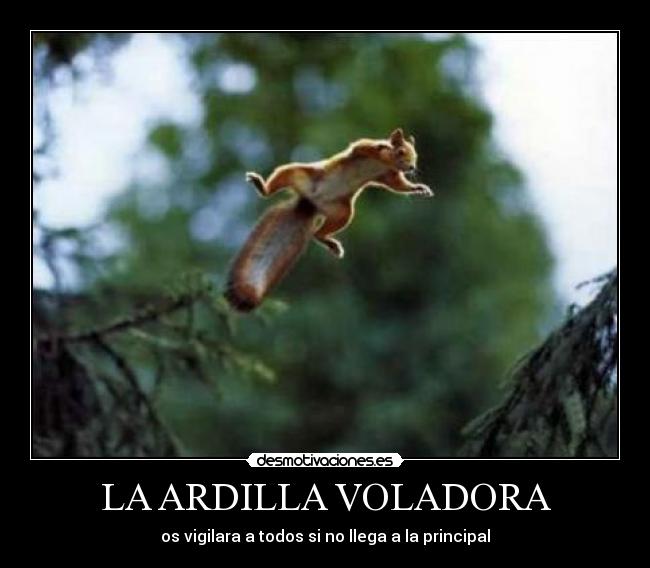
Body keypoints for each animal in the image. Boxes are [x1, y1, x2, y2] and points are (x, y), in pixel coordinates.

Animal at [224, 128, 433, 312]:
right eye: (401, 151)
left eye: (415, 156)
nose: (412, 167)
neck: (384, 163)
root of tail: (311, 203)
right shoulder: (364, 152)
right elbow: (360, 145)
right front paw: (383, 144)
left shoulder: (389, 175)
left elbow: (399, 186)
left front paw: (418, 188)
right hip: (297, 173)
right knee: (272, 189)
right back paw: (261, 186)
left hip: (343, 213)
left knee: (318, 233)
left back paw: (331, 244)